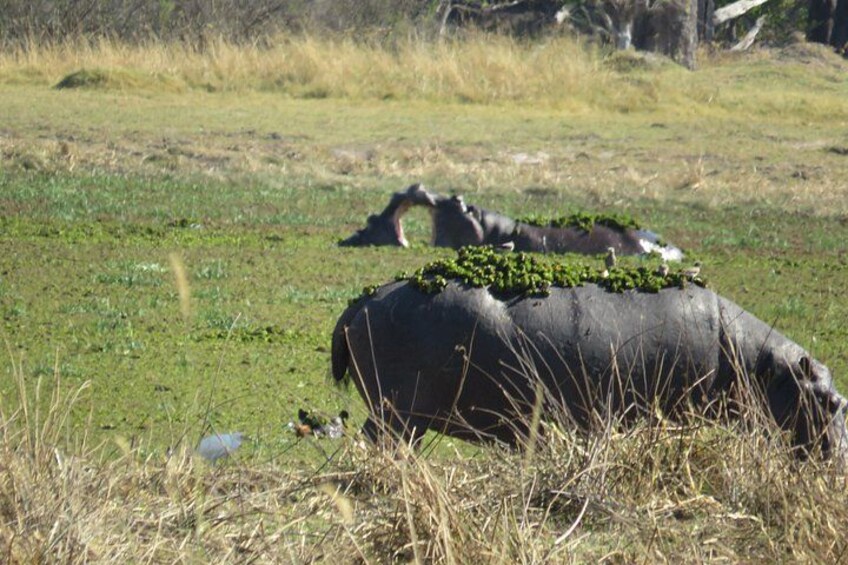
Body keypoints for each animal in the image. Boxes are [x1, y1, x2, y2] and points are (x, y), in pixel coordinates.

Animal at [332, 251, 848, 459]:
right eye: (832, 402)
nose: (838, 459)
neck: (758, 363)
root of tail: (361, 301)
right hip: (397, 411)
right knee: (376, 444)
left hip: (403, 414)